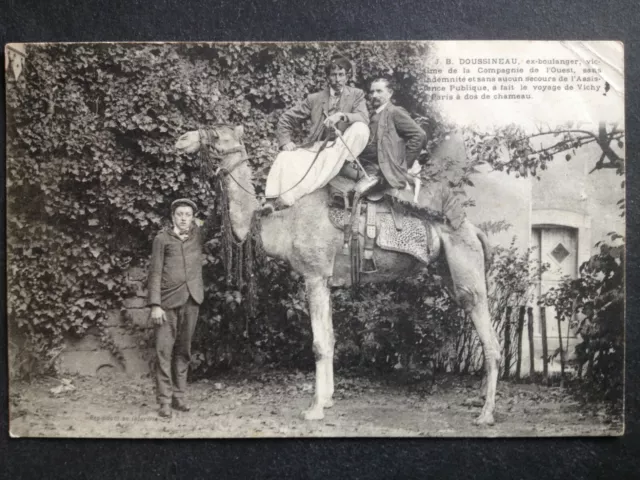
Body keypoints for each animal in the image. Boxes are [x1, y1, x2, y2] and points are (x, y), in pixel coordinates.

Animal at [175, 125, 500, 426]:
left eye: (218, 134)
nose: (182, 139)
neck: (283, 222)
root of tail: (475, 230)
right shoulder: (327, 281)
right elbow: (330, 338)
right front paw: (327, 399)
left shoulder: (315, 275)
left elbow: (319, 344)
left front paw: (315, 409)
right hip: (449, 272)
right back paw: (479, 403)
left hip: (467, 270)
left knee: (490, 340)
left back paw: (485, 414)